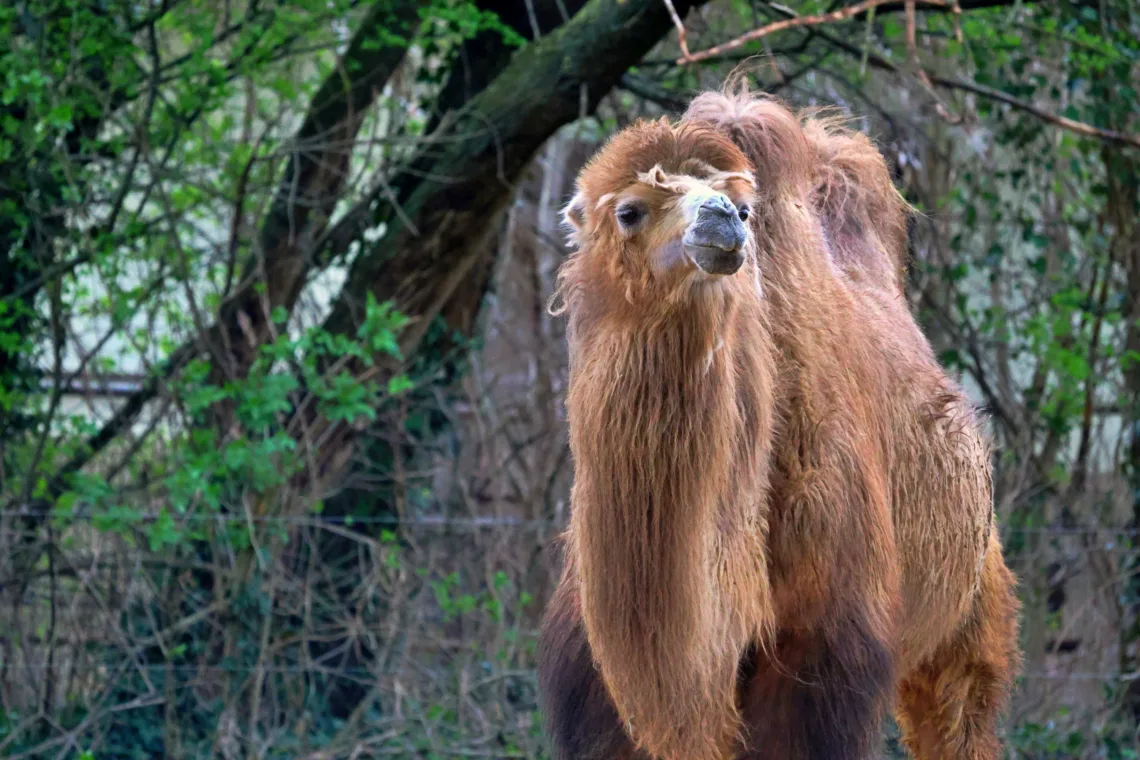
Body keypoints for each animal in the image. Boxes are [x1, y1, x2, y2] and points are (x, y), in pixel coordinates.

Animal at [537, 85, 1021, 760]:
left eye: (745, 206)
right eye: (629, 211)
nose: (722, 219)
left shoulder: (823, 654)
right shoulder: (597, 693)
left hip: (971, 611)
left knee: (960, 707)